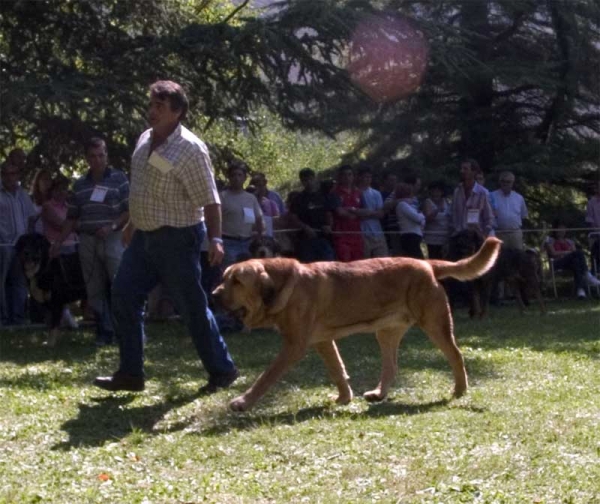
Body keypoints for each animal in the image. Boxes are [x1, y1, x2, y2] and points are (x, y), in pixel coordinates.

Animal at [212, 238, 502, 412]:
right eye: (224, 278)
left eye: (237, 281)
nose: (213, 294)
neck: (283, 284)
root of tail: (427, 263)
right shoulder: (322, 341)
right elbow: (337, 370)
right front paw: (343, 398)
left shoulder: (293, 346)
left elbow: (266, 376)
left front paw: (243, 401)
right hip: (386, 333)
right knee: (391, 366)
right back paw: (379, 394)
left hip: (435, 324)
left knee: (456, 355)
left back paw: (459, 390)